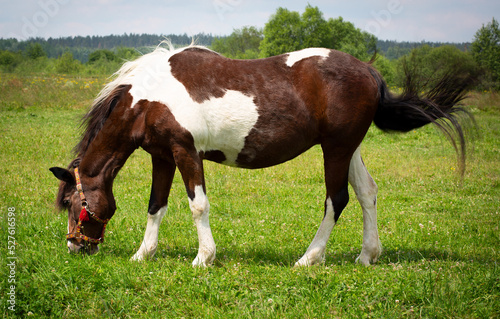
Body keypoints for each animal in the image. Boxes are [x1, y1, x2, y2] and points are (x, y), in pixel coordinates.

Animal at [48, 43, 474, 268]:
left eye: (70, 202)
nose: (74, 246)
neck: (148, 99)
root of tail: (370, 73)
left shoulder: (186, 152)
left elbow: (198, 206)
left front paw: (203, 258)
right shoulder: (162, 156)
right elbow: (156, 205)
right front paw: (143, 254)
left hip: (335, 150)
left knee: (336, 200)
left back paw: (309, 258)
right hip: (347, 147)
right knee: (367, 193)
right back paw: (367, 255)